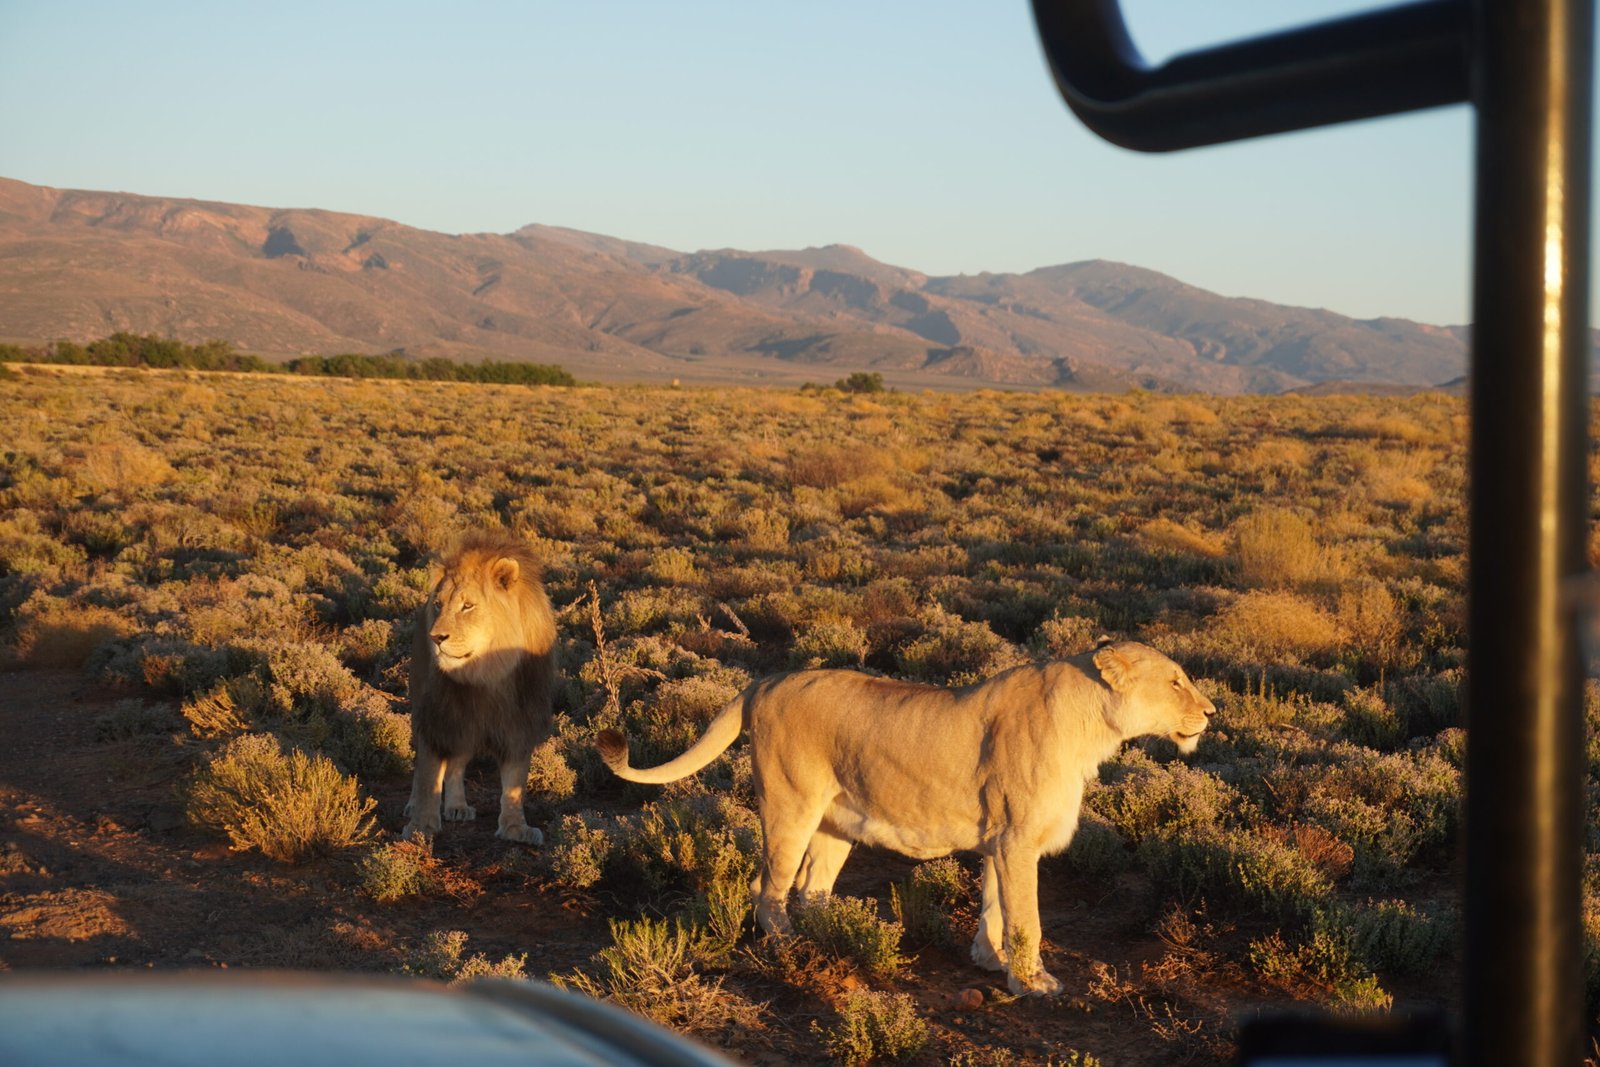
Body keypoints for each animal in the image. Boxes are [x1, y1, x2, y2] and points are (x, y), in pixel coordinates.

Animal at [402, 530, 557, 845]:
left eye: (467, 606)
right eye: (439, 604)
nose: (436, 637)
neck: (486, 677)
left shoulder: (519, 722)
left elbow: (514, 782)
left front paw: (515, 828)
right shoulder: (438, 717)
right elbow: (428, 773)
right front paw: (421, 826)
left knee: (457, 763)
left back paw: (457, 806)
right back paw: (414, 806)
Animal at [597, 640, 1214, 995]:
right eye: (1176, 681)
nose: (1211, 712)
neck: (1094, 727)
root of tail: (764, 680)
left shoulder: (1000, 840)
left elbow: (993, 906)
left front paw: (989, 961)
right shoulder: (1017, 840)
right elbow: (1026, 918)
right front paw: (1033, 981)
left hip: (836, 822)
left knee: (812, 887)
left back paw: (839, 934)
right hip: (790, 804)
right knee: (768, 886)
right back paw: (790, 945)